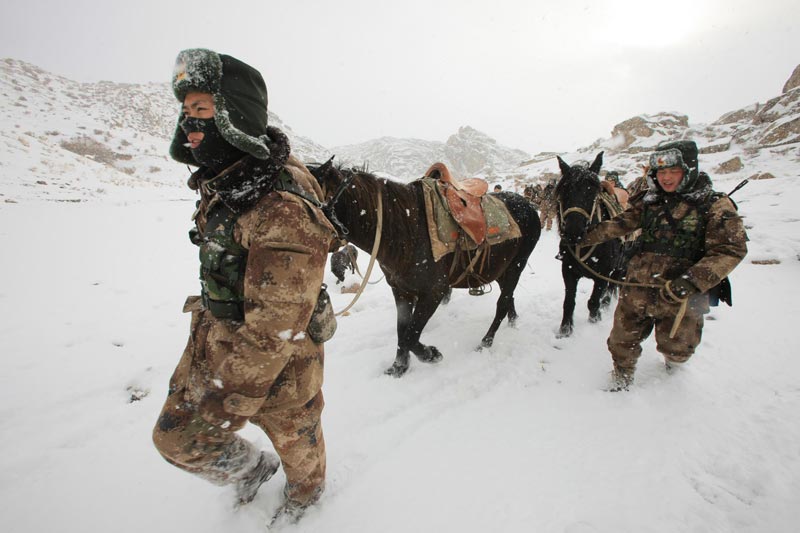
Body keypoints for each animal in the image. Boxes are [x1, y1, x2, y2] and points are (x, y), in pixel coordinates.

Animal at [310, 160, 540, 376]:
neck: (406, 230)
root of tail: (529, 206)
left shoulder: (434, 292)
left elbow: (411, 335)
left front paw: (431, 354)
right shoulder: (401, 291)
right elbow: (402, 330)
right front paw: (399, 367)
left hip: (516, 266)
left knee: (502, 303)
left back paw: (486, 341)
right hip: (502, 269)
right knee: (508, 297)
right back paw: (513, 320)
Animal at [552, 151, 628, 336]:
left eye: (592, 191)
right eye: (564, 190)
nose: (573, 232)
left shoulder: (603, 273)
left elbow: (593, 302)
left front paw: (595, 320)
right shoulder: (568, 271)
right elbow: (569, 302)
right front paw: (565, 331)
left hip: (621, 266)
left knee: (613, 285)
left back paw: (606, 304)